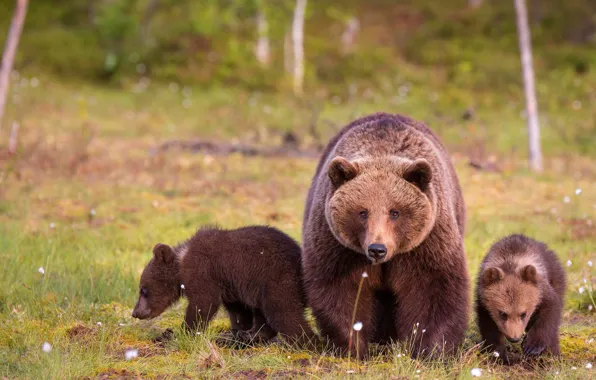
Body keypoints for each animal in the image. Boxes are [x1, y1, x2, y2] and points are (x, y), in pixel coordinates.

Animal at [302, 111, 470, 358]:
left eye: (395, 212)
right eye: (362, 212)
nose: (377, 249)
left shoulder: (427, 243)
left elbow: (434, 287)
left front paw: (430, 349)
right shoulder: (339, 247)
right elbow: (340, 289)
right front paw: (353, 346)